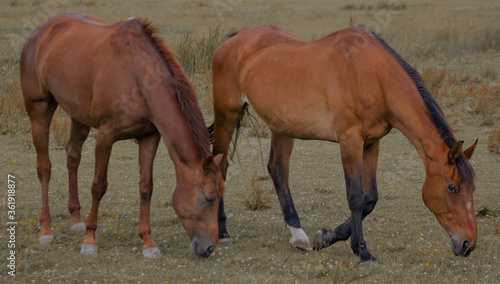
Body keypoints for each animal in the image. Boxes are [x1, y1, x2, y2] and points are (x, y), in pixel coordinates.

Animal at [19, 12, 223, 258]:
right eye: (209, 198)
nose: (209, 247)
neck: (137, 77)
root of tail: (41, 29)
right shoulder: (105, 136)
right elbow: (98, 186)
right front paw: (90, 240)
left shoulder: (149, 137)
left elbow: (146, 187)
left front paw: (148, 242)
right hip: (39, 108)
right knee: (44, 167)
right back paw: (46, 229)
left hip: (78, 115)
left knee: (72, 157)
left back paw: (76, 219)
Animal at [209, 25, 478, 262]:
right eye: (452, 188)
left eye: (472, 188)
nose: (468, 244)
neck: (373, 76)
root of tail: (234, 39)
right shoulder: (350, 141)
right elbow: (356, 197)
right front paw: (362, 251)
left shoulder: (371, 143)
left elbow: (370, 199)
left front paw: (326, 237)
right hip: (227, 115)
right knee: (220, 166)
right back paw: (222, 233)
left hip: (282, 126)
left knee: (277, 169)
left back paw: (298, 235)